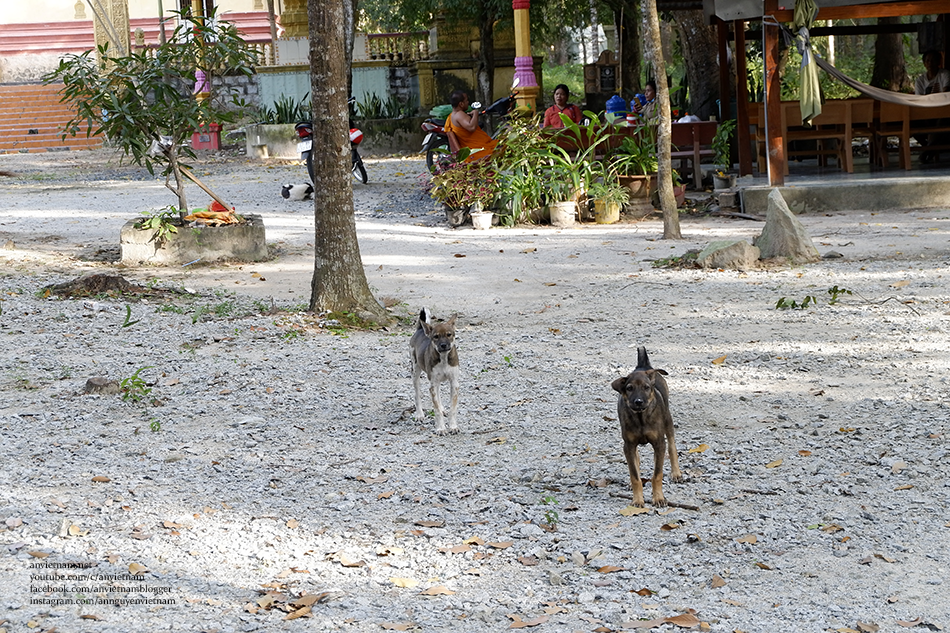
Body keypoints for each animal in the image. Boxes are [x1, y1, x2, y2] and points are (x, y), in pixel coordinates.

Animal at [608, 344, 684, 506]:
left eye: (646, 387)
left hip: (668, 421)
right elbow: (634, 475)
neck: (641, 417)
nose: (638, 402)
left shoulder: (659, 442)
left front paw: (659, 498)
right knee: (637, 459)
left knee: (672, 446)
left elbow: (657, 474)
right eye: (629, 388)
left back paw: (676, 473)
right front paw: (637, 500)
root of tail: (643, 366)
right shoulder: (629, 445)